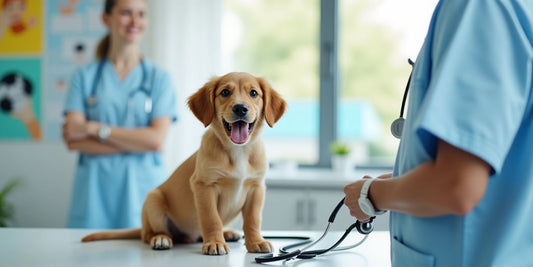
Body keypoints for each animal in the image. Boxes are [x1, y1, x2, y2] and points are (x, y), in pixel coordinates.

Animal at [81, 72, 286, 256]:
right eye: (225, 92)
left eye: (253, 93)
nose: (240, 108)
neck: (238, 151)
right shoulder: (203, 186)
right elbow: (212, 219)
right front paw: (215, 243)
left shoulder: (256, 188)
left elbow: (252, 220)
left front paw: (256, 242)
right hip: (154, 200)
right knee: (149, 234)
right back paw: (161, 239)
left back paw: (227, 233)